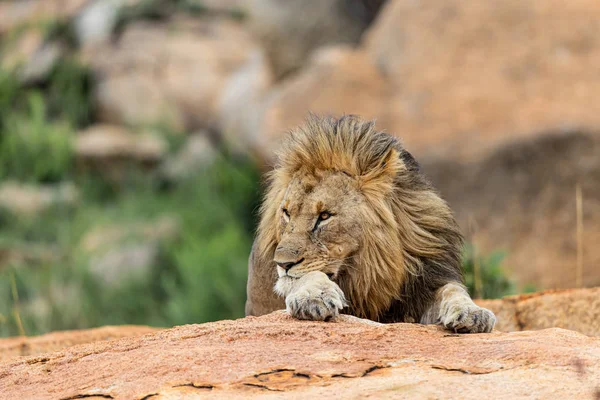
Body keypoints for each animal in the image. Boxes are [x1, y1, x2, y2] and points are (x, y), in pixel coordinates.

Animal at [245, 114, 496, 332]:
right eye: (286, 213)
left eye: (324, 216)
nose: (282, 263)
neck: (366, 268)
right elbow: (304, 276)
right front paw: (314, 298)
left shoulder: (425, 283)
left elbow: (452, 289)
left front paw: (473, 313)